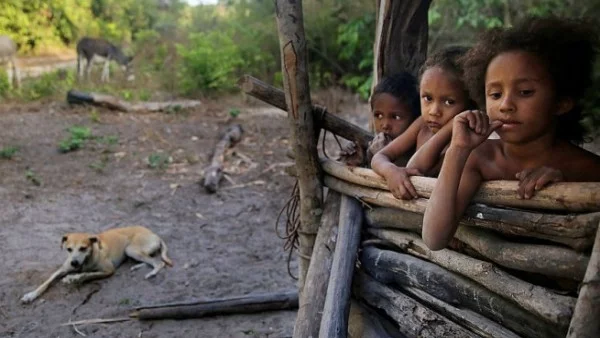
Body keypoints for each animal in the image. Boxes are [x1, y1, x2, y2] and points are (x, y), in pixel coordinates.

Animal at [21, 224, 171, 304]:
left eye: (83, 248)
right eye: (68, 249)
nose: (74, 263)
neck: (85, 261)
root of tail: (154, 234)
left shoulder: (108, 270)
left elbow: (87, 274)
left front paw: (73, 278)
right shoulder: (61, 269)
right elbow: (45, 282)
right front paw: (31, 295)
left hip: (131, 249)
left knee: (158, 262)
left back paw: (151, 273)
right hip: (132, 253)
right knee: (150, 261)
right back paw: (136, 267)